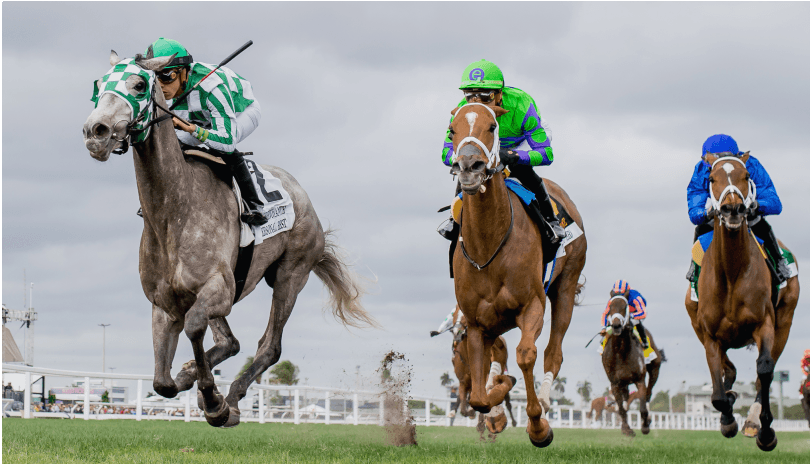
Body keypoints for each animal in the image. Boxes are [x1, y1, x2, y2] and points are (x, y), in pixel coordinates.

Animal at [83, 51, 376, 428]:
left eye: (138, 85)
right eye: (98, 86)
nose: (96, 131)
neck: (173, 212)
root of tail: (302, 195)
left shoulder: (216, 289)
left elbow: (194, 327)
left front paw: (213, 400)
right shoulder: (164, 304)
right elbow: (162, 382)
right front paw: (190, 377)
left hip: (290, 275)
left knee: (269, 346)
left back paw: (232, 399)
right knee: (231, 342)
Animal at [448, 102, 587, 447]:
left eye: (492, 126)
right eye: (452, 129)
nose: (469, 166)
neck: (489, 243)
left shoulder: (532, 304)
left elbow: (526, 355)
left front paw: (538, 426)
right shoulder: (476, 321)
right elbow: (480, 393)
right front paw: (495, 408)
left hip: (565, 287)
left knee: (553, 352)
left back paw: (546, 400)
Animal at [601, 295, 663, 436]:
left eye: (625, 307)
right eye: (610, 307)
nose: (616, 325)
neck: (621, 351)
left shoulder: (639, 379)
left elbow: (643, 407)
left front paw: (645, 426)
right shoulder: (615, 383)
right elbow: (621, 408)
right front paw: (626, 429)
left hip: (655, 368)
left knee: (649, 392)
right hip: (624, 384)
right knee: (625, 402)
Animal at [684, 152, 799, 451]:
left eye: (746, 175)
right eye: (712, 178)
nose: (733, 210)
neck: (732, 272)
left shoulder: (765, 325)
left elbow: (765, 370)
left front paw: (764, 429)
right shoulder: (709, 335)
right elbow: (717, 393)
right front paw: (727, 419)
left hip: (785, 322)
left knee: (763, 374)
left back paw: (753, 422)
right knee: (730, 370)